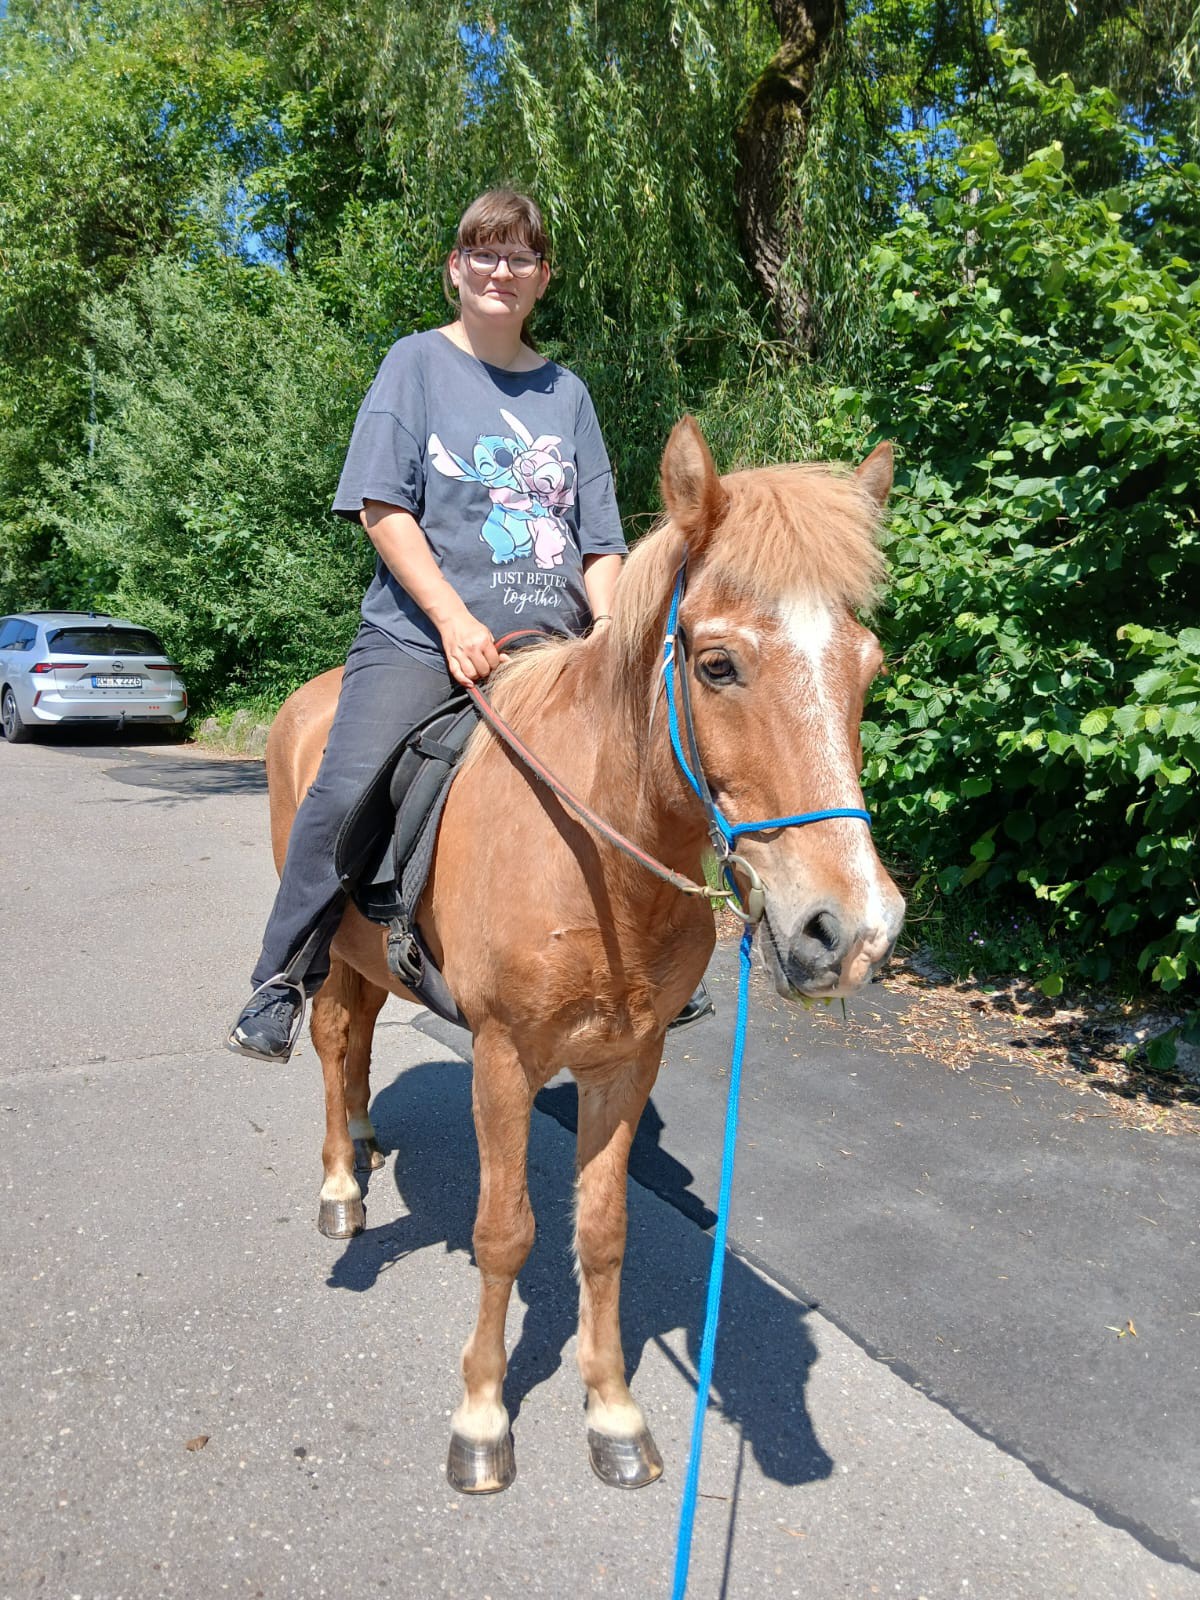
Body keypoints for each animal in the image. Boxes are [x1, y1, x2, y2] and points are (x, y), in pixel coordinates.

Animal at [264, 417, 905, 1494]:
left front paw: (611, 1411)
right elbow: (506, 1230)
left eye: (868, 667)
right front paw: (483, 1418)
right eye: (718, 665)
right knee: (330, 1040)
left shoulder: (626, 1058)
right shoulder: (500, 1057)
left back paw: (361, 1141)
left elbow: (602, 1234)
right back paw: (341, 1187)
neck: (596, 856)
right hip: (329, 947)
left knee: (355, 1050)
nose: (849, 932)